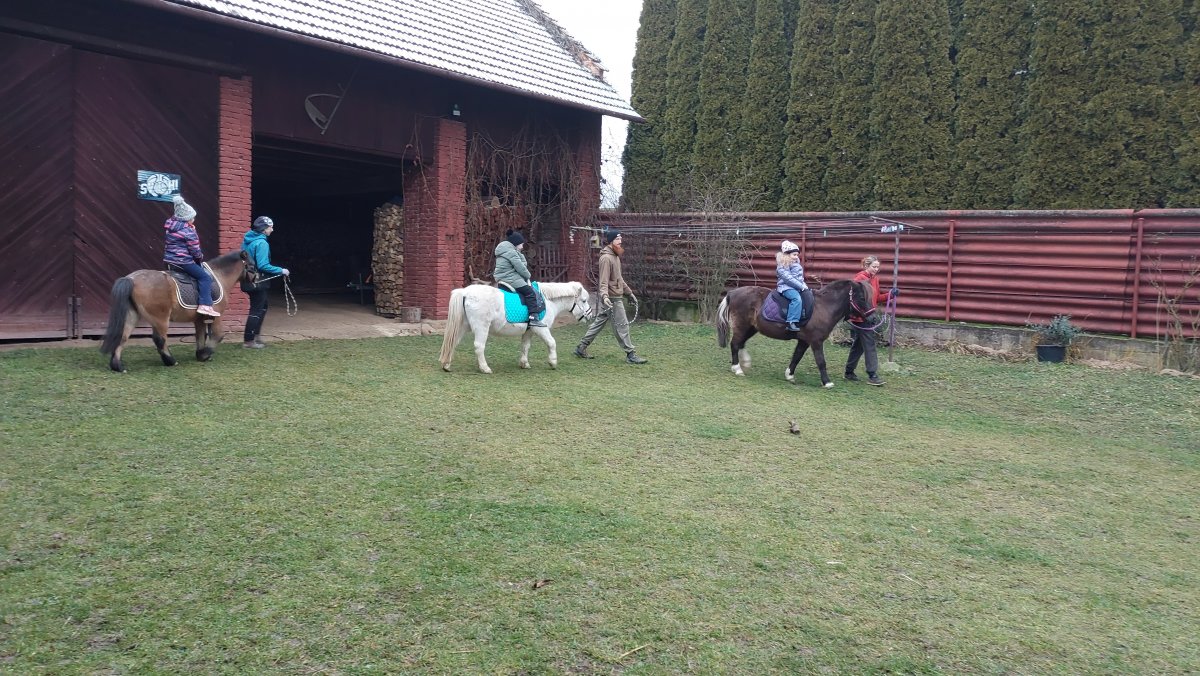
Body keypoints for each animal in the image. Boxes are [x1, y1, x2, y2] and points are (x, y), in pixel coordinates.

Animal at [99, 250, 257, 372]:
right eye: (252, 265)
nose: (258, 280)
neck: (219, 276)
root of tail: (131, 279)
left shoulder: (199, 319)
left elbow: (200, 336)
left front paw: (200, 354)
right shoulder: (217, 316)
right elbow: (218, 335)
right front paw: (205, 354)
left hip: (132, 315)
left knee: (123, 336)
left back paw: (117, 366)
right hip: (161, 318)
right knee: (160, 339)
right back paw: (170, 361)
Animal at [438, 281, 592, 373]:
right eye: (584, 301)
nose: (590, 315)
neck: (547, 301)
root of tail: (465, 292)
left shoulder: (529, 331)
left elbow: (525, 346)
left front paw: (524, 363)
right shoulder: (541, 328)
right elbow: (552, 343)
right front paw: (553, 362)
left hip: (463, 326)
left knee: (453, 342)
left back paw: (446, 365)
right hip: (481, 327)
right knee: (479, 346)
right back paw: (485, 368)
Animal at [715, 279, 877, 388]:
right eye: (861, 298)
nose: (874, 318)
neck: (823, 306)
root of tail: (732, 292)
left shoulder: (804, 341)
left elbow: (796, 357)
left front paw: (789, 375)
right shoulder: (816, 341)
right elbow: (821, 361)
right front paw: (827, 382)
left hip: (751, 328)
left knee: (740, 343)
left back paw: (745, 363)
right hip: (742, 326)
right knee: (735, 344)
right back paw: (737, 368)